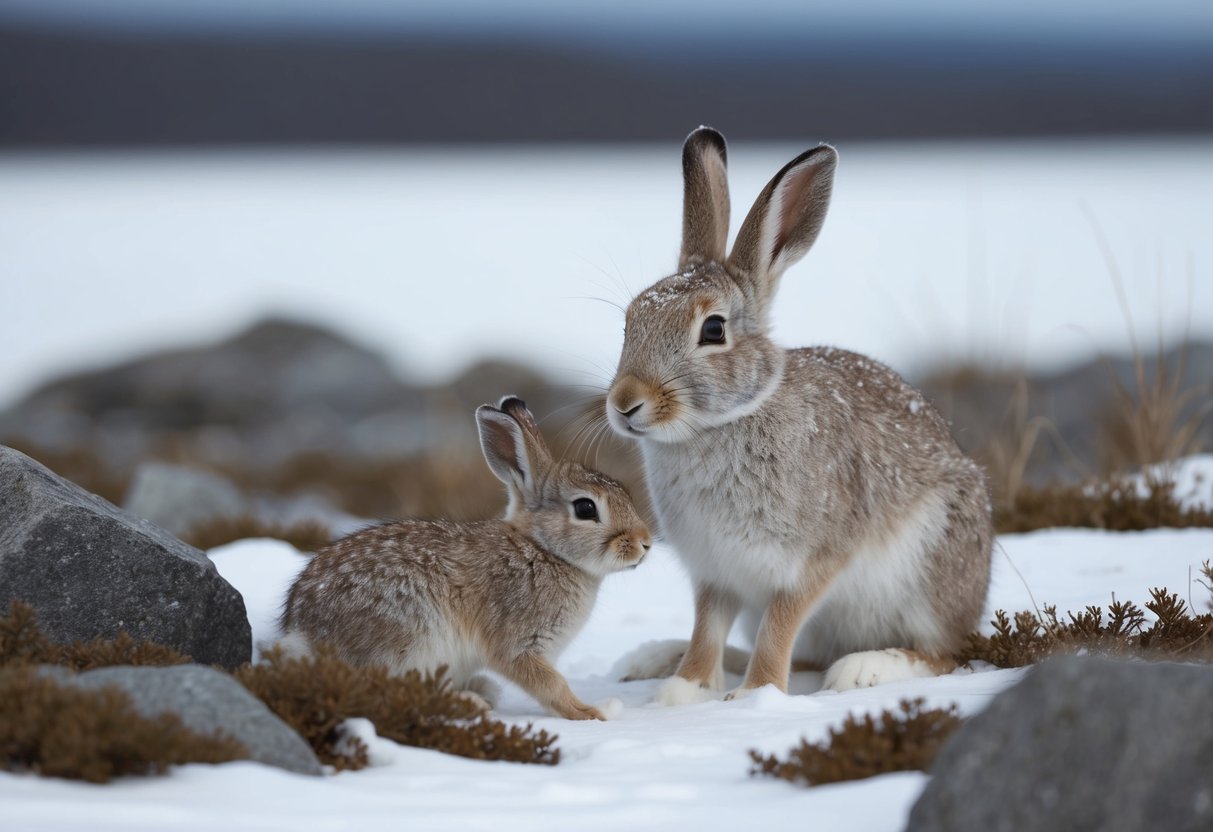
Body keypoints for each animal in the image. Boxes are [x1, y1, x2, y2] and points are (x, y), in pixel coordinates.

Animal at [279, 396, 652, 721]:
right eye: (586, 508)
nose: (645, 543)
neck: (545, 550)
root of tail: (304, 635)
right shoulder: (521, 643)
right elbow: (549, 684)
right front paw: (592, 712)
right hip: (410, 635)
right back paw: (470, 702)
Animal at [605, 127, 992, 702]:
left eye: (713, 330)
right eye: (630, 320)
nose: (624, 402)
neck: (722, 424)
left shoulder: (813, 561)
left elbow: (780, 625)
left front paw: (755, 696)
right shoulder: (716, 574)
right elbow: (706, 630)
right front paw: (685, 690)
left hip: (930, 577)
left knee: (944, 654)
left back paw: (866, 668)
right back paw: (651, 658)